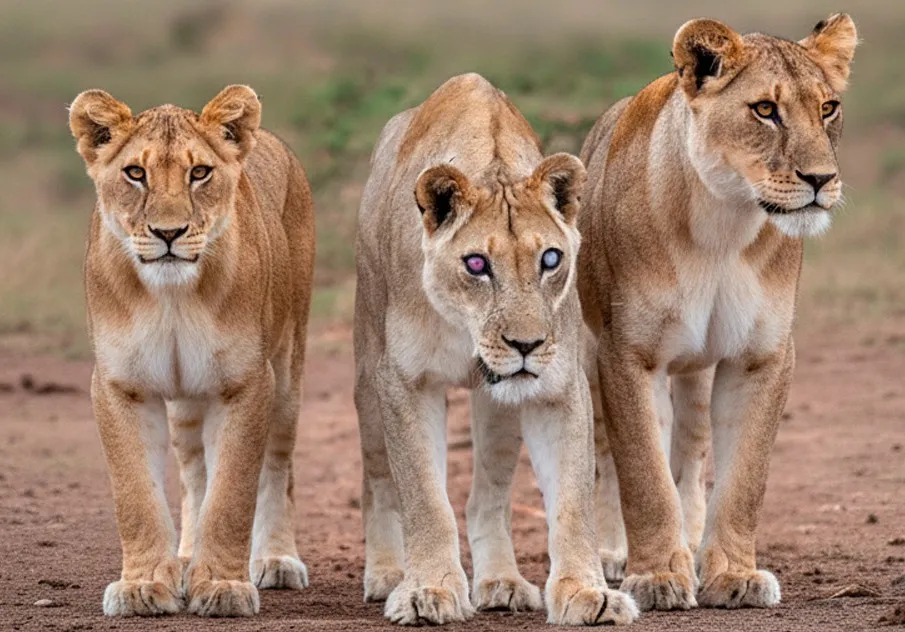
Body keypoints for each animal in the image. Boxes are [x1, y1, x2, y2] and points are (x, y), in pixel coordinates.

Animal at [69, 85, 315, 617]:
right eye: (135, 173)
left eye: (199, 172)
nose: (168, 233)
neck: (172, 297)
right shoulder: (120, 385)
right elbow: (137, 495)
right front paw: (143, 585)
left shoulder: (247, 382)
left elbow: (232, 495)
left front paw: (223, 586)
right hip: (185, 402)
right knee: (192, 471)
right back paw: (184, 559)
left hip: (289, 369)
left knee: (278, 466)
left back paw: (277, 560)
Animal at [353, 73, 638, 626]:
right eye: (477, 264)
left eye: (550, 259)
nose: (526, 344)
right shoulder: (403, 381)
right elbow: (424, 497)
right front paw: (429, 590)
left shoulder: (559, 387)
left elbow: (572, 501)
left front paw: (586, 593)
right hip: (365, 370)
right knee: (379, 481)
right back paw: (387, 574)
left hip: (498, 407)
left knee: (487, 497)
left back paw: (501, 582)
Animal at [577, 14, 857, 611]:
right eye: (765, 110)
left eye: (828, 108)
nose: (821, 180)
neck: (725, 225)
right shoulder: (627, 353)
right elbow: (643, 473)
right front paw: (656, 576)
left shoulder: (761, 356)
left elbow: (743, 479)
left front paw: (732, 574)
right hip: (588, 358)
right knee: (607, 453)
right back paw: (614, 554)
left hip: (697, 374)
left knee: (690, 452)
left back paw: (692, 545)